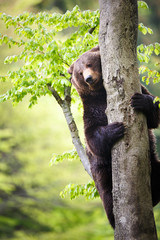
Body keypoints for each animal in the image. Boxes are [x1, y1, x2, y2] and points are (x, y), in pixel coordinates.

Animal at [68, 46, 160, 228]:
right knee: (107, 194)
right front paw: (115, 128)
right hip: (102, 171)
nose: (89, 78)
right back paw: (113, 217)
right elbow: (92, 137)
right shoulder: (93, 110)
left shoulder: (140, 88)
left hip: (154, 162)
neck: (102, 93)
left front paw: (141, 101)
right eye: (80, 73)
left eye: (89, 64)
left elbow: (154, 111)